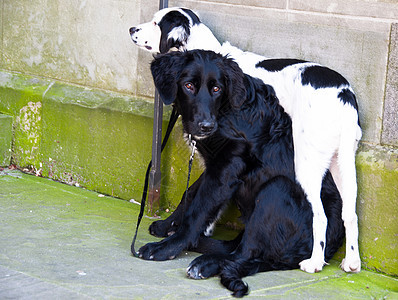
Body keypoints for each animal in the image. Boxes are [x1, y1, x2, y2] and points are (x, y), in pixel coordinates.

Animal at [130, 7, 360, 274]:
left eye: (156, 23)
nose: (132, 29)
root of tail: (344, 94)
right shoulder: (218, 162)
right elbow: (193, 193)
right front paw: (171, 225)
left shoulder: (227, 162)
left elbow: (199, 203)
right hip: (341, 164)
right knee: (350, 214)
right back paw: (352, 262)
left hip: (303, 165)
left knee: (318, 216)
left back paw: (314, 262)